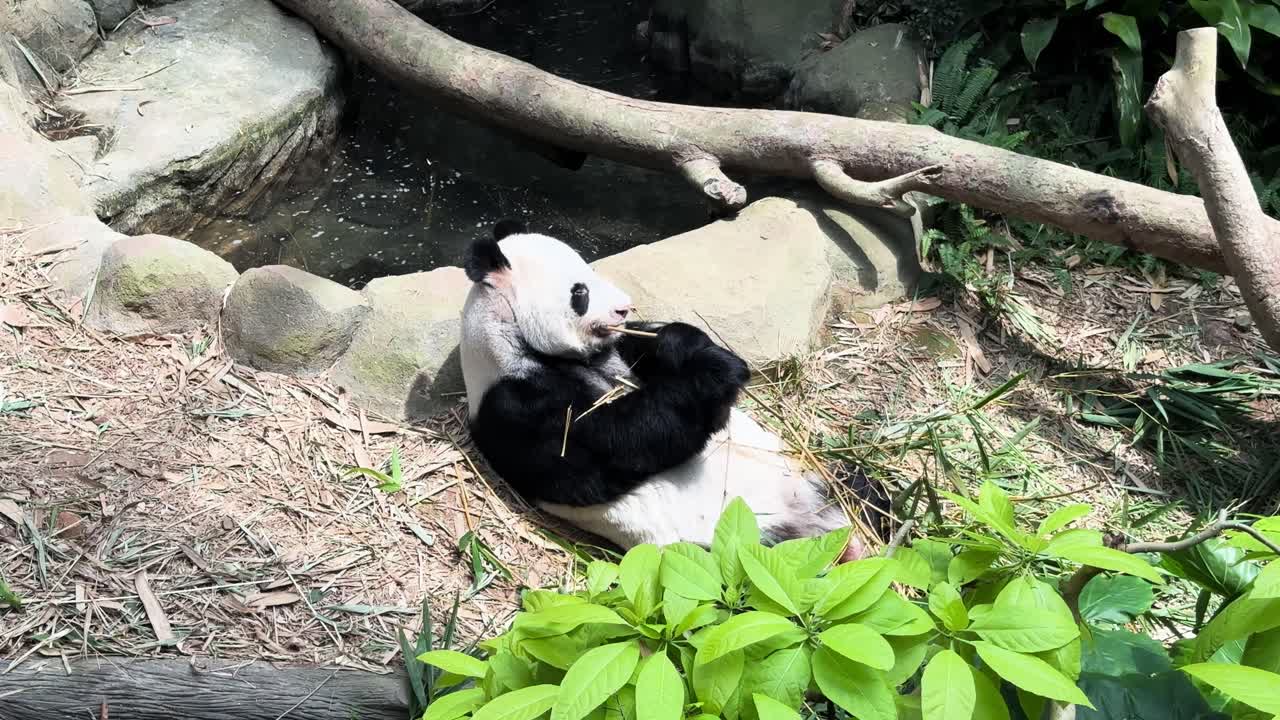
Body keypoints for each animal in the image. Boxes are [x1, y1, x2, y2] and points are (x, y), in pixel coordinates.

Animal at [459, 219, 884, 561]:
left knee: (859, 486)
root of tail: (823, 527)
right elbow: (615, 442)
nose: (623, 308)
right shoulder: (517, 404)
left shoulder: (618, 352)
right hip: (732, 545)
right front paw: (715, 374)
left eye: (590, 269)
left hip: (804, 472)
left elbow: (658, 349)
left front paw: (683, 345)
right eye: (579, 292)